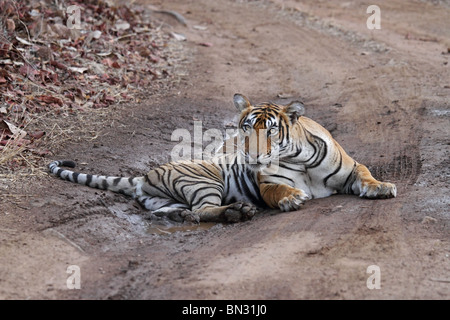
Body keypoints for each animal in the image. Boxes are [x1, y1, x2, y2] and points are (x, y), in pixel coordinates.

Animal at [47, 92, 396, 222]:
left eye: (271, 131)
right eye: (245, 127)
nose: (252, 154)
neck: (299, 159)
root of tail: (143, 176)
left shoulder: (351, 168)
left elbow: (366, 174)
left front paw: (382, 187)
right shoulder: (266, 185)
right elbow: (279, 189)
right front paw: (291, 198)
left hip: (166, 200)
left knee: (181, 212)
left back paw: (189, 216)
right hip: (205, 179)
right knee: (203, 209)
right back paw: (237, 212)